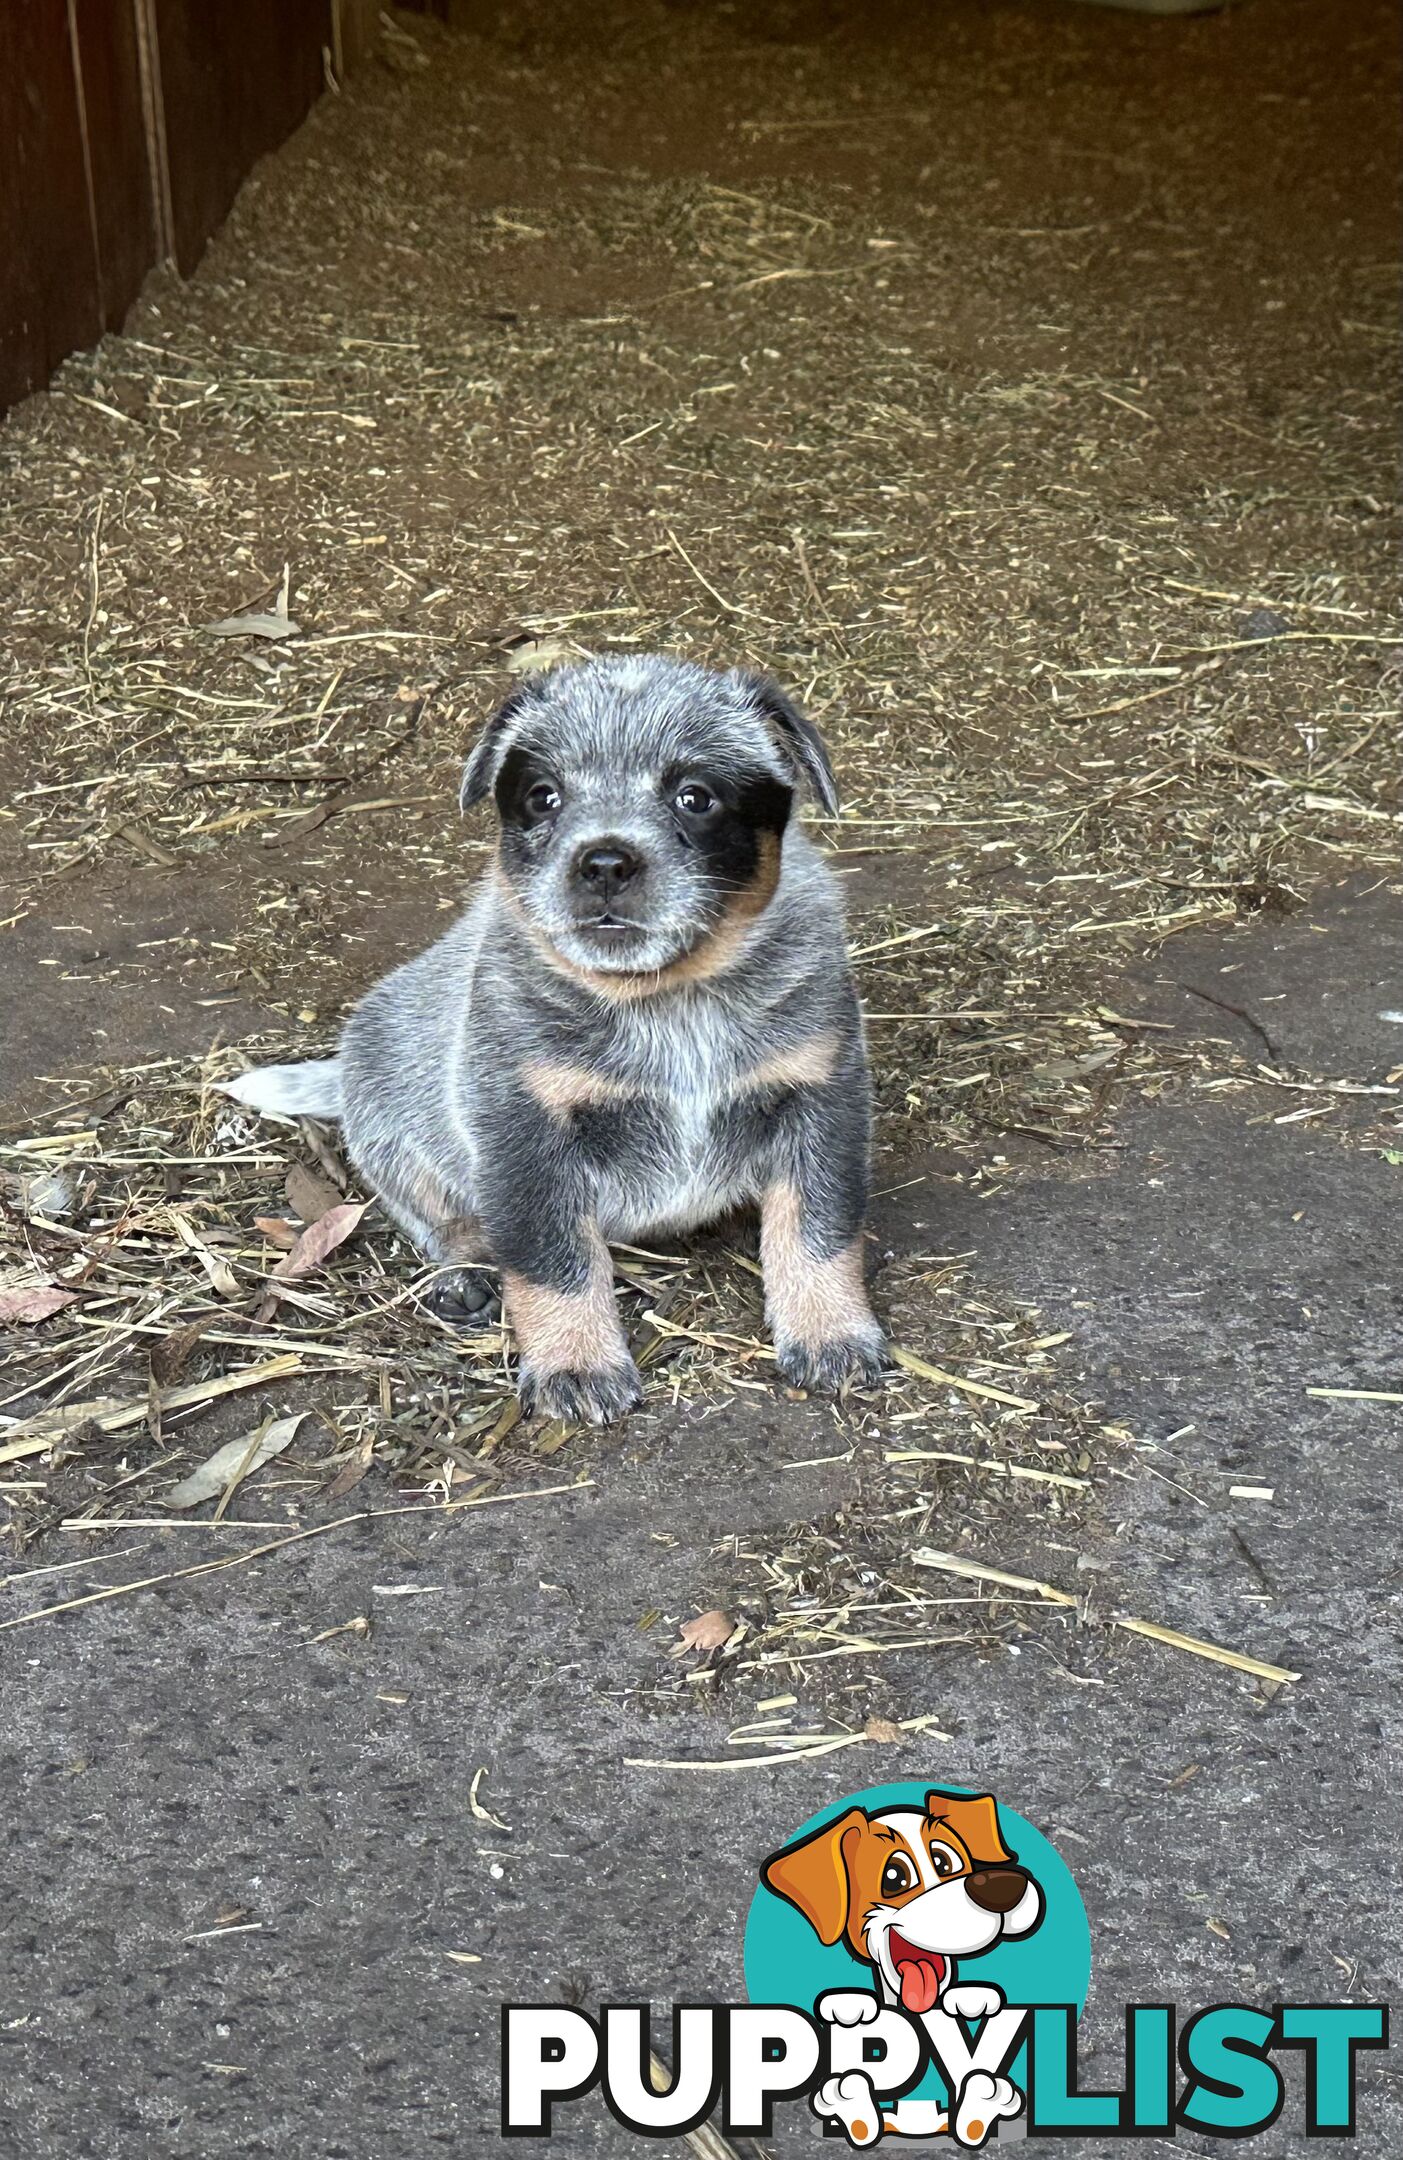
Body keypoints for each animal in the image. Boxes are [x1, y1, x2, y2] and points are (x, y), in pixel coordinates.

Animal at [229, 648, 884, 1425]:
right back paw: (465, 1273)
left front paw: (830, 1333)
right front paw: (576, 1365)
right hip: (391, 1124)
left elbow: (818, 1232)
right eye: (544, 797)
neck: (668, 1002)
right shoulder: (523, 1126)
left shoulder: (821, 1095)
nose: (603, 861)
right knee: (436, 1215)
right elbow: (551, 1261)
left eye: (695, 796)